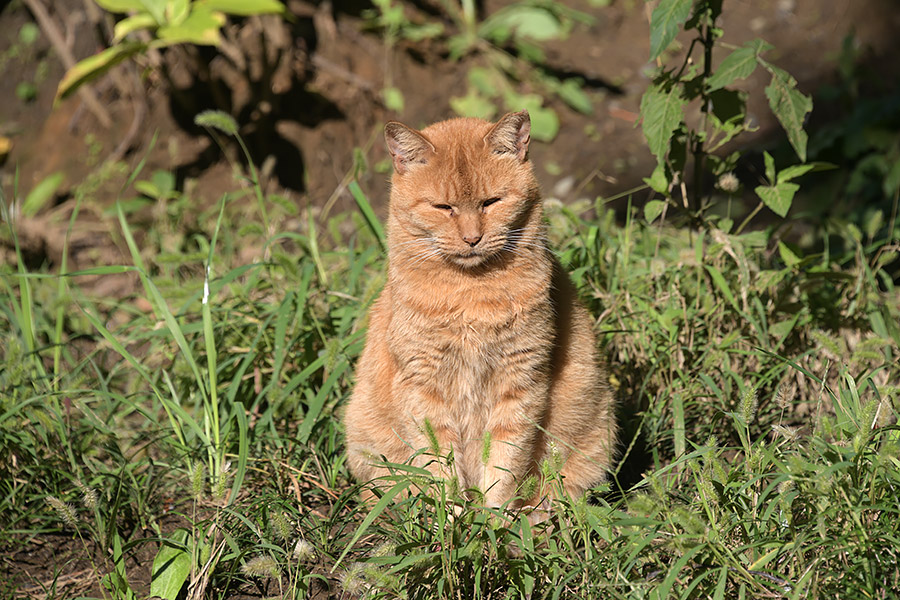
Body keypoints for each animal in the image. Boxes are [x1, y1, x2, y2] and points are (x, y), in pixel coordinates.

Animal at [342, 110, 616, 508]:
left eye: (491, 202)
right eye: (443, 207)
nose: (472, 238)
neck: (470, 294)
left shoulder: (520, 381)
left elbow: (504, 463)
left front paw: (493, 519)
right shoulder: (423, 385)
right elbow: (439, 464)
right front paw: (453, 516)